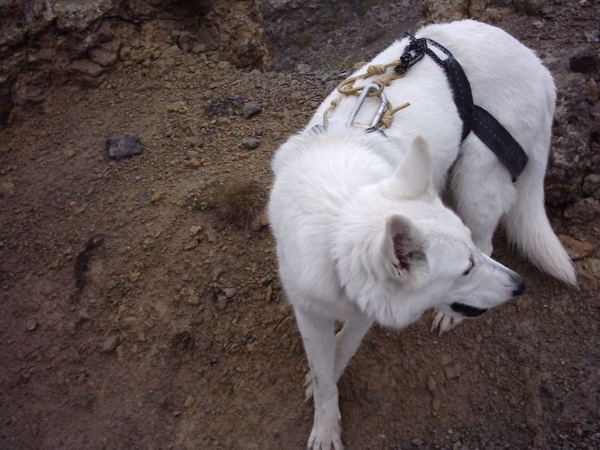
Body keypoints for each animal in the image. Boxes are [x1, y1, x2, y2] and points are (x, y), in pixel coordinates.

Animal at [268, 19, 576, 448]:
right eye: (464, 269)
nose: (520, 287)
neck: (339, 222)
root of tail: (540, 67)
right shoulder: (310, 310)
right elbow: (324, 368)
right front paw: (325, 418)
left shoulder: (364, 310)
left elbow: (341, 350)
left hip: (478, 173)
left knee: (488, 234)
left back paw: (450, 315)